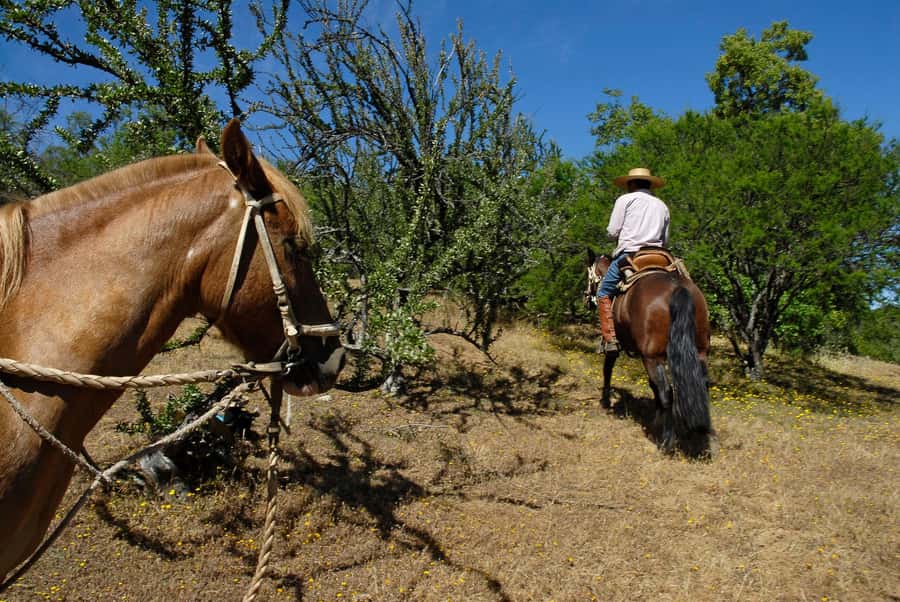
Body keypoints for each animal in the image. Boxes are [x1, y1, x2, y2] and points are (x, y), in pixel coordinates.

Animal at [585, 248, 713, 456]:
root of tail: (676, 287)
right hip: (699, 352)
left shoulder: (617, 347)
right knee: (699, 388)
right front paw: (655, 419)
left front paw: (605, 400)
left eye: (589, 274)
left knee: (667, 393)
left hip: (652, 357)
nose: (587, 298)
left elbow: (607, 369)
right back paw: (701, 439)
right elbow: (653, 386)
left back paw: (667, 443)